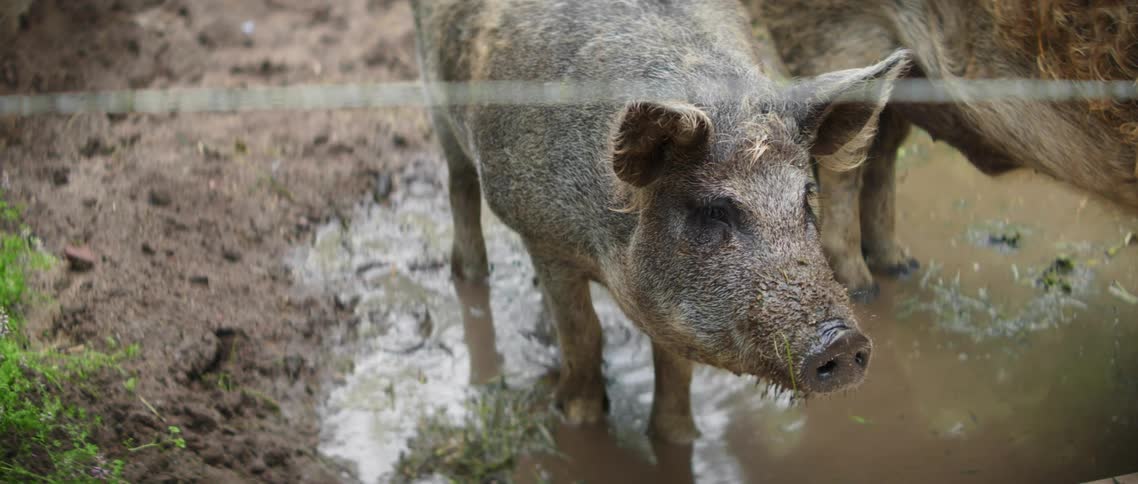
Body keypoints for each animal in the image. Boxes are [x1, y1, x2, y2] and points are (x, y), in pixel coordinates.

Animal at [411, 0, 909, 443]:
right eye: (714, 210)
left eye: (805, 199)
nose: (842, 341)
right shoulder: (544, 237)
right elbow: (584, 333)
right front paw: (577, 420)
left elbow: (674, 372)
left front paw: (679, 438)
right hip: (436, 100)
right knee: (459, 186)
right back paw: (470, 276)